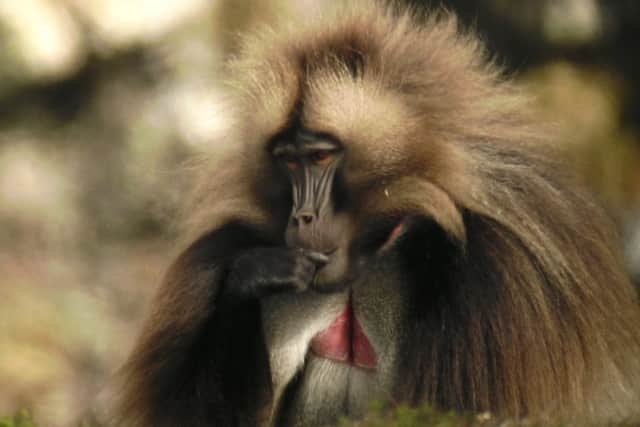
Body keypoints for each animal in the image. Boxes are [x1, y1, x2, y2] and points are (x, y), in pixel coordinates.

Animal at [113, 2, 640, 426]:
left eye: (320, 157)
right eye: (288, 161)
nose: (302, 218)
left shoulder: (498, 276)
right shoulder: (219, 251)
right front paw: (254, 276)